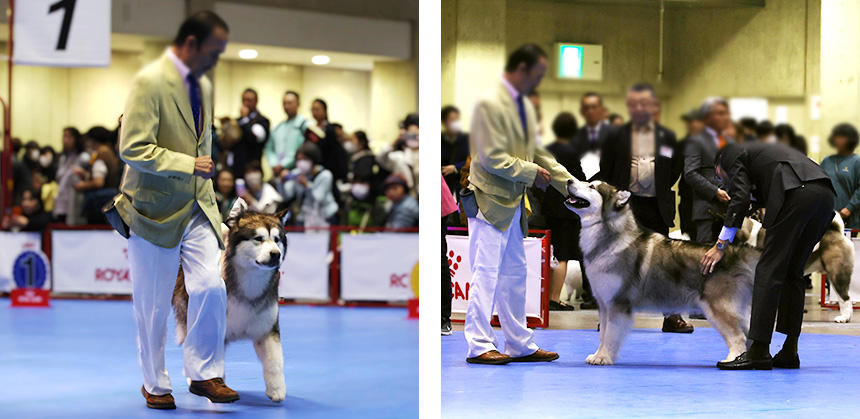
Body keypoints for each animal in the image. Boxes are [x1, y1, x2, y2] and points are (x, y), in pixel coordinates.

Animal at [172, 200, 288, 404]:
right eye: (258, 238)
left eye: (277, 239)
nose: (275, 254)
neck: (249, 281)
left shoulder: (267, 329)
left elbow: (275, 362)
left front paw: (276, 389)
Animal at [564, 179, 760, 366]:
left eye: (591, 186)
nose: (568, 181)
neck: (611, 238)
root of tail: (735, 252)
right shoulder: (604, 304)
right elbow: (603, 334)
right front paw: (599, 355)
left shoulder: (617, 303)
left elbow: (610, 335)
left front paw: (604, 357)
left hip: (718, 308)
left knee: (738, 337)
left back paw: (733, 359)